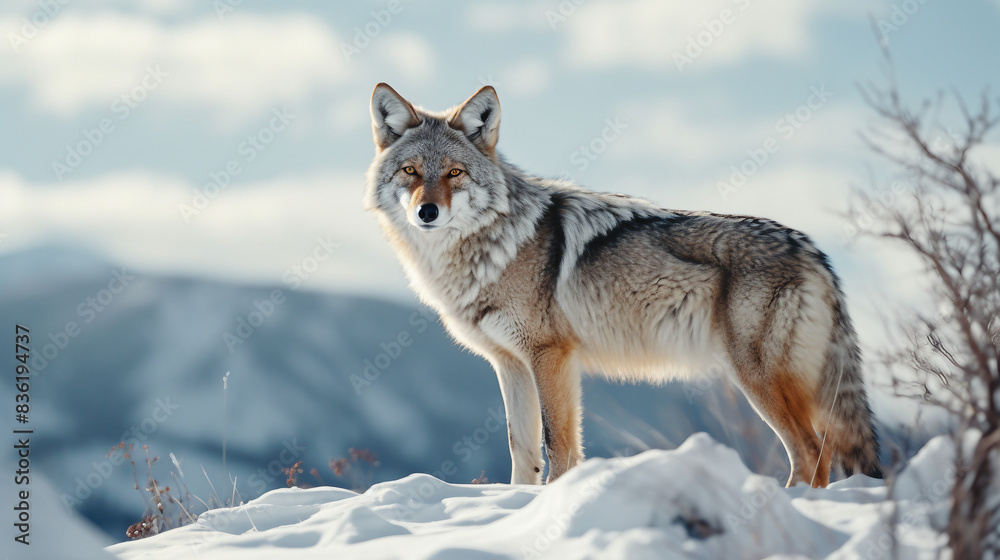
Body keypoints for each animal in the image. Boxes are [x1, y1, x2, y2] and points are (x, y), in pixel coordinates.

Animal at [364, 83, 882, 488]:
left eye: (454, 172)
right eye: (411, 171)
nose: (427, 212)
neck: (488, 252)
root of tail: (810, 248)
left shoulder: (551, 356)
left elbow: (559, 447)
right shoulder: (510, 365)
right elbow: (523, 454)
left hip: (757, 378)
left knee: (812, 453)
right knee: (820, 452)